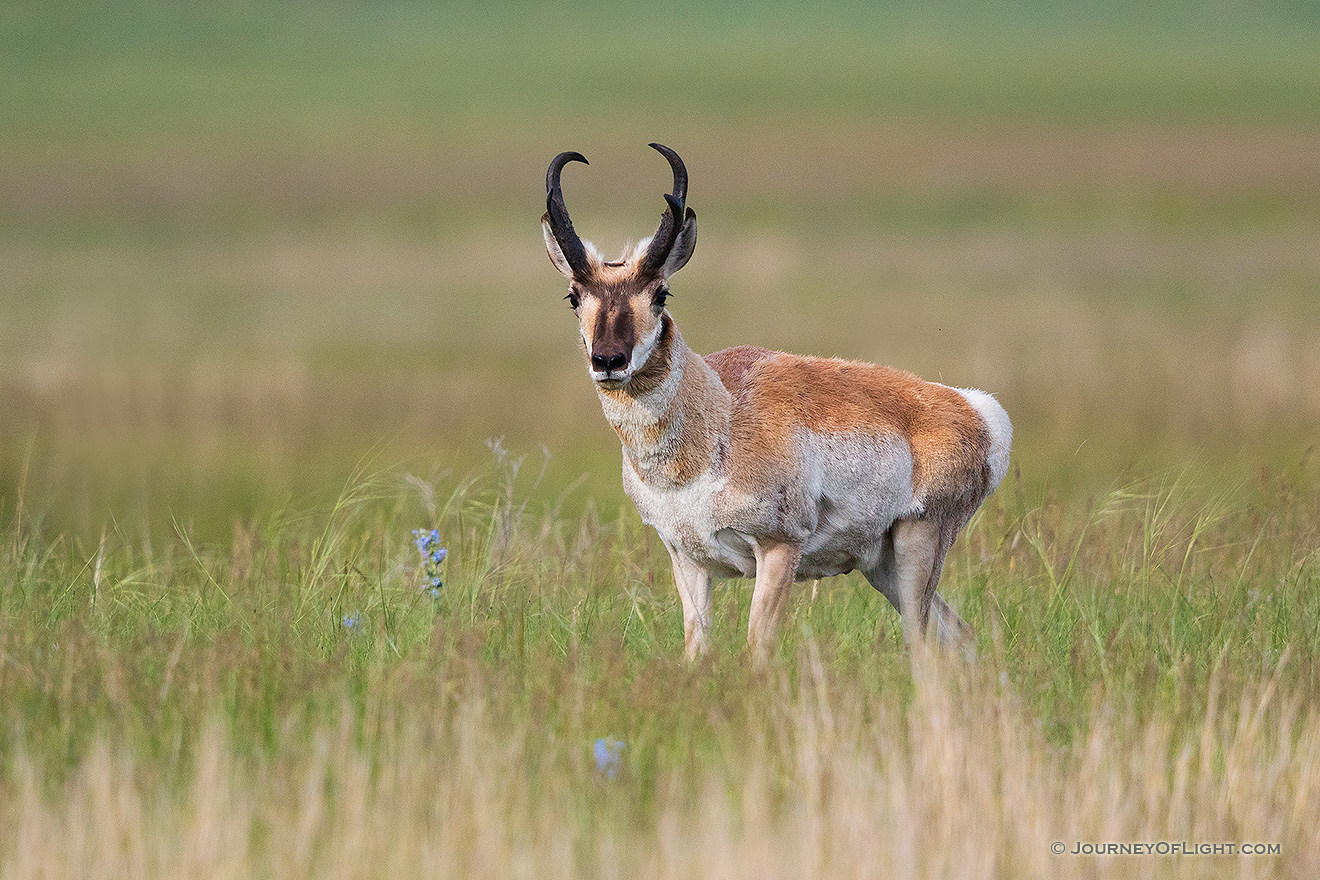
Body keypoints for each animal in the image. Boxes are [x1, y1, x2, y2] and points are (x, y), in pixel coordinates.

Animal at [543, 144, 1008, 657]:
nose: (609, 360)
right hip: (880, 565)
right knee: (958, 633)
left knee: (925, 641)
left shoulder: (779, 549)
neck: (719, 419)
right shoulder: (687, 559)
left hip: (916, 546)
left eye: (661, 293)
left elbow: (757, 645)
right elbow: (696, 645)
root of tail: (975, 408)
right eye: (573, 297)